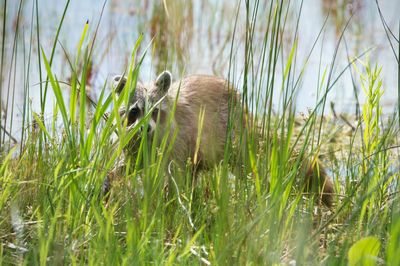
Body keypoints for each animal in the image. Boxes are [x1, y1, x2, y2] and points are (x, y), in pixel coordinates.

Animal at [109, 70, 334, 206]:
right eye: (135, 111)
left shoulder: (177, 140)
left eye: (155, 111)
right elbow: (127, 165)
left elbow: (175, 175)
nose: (146, 128)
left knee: (247, 163)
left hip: (230, 138)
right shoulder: (134, 143)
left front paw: (168, 201)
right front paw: (110, 180)